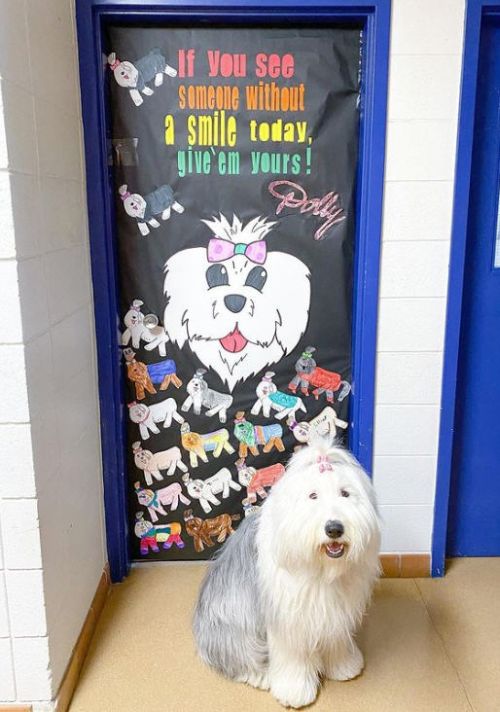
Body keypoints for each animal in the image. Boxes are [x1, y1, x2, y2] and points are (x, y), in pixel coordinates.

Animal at [193, 440, 380, 708]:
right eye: (313, 495)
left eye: (345, 493)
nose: (334, 528)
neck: (321, 568)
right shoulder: (287, 616)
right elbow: (292, 655)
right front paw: (295, 691)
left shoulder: (335, 610)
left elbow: (336, 638)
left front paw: (344, 666)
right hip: (235, 627)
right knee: (240, 659)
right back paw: (262, 676)